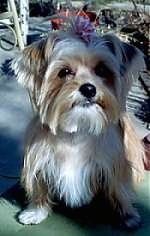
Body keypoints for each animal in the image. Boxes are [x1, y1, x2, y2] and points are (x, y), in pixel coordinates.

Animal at [12, 17, 146, 230]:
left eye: (101, 70)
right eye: (64, 72)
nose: (89, 89)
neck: (77, 130)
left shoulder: (115, 165)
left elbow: (119, 189)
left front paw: (127, 215)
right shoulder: (39, 160)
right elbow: (40, 187)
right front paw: (35, 211)